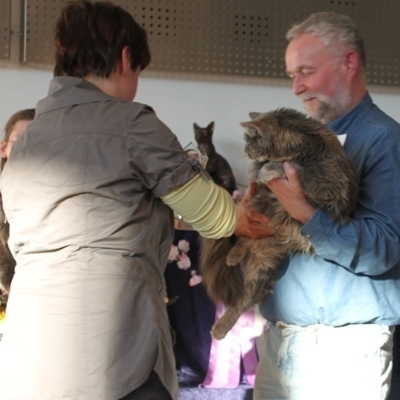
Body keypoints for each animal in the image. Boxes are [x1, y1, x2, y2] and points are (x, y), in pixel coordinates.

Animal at [200, 108, 360, 340]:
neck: (305, 141)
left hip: (264, 265)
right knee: (243, 242)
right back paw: (233, 257)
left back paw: (220, 327)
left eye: (249, 140)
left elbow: (287, 165)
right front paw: (255, 169)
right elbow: (264, 165)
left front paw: (265, 170)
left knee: (246, 298)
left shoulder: (326, 180)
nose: (246, 152)